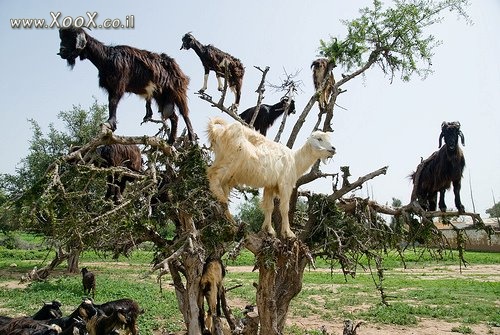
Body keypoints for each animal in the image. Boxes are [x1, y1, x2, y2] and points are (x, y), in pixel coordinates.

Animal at [56, 26, 193, 145]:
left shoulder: (118, 84)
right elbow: (111, 103)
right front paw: (112, 124)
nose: (61, 51)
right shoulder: (111, 87)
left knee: (184, 113)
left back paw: (191, 137)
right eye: (62, 38)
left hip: (178, 90)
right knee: (174, 117)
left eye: (71, 38)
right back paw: (171, 141)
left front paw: (110, 123)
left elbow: (113, 102)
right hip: (161, 96)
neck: (106, 58)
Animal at [205, 118, 338, 239]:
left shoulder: (270, 185)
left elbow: (269, 207)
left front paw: (269, 230)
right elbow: (284, 208)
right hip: (230, 162)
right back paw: (220, 199)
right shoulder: (285, 184)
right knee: (212, 175)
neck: (295, 160)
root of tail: (217, 131)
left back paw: (229, 218)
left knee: (222, 186)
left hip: (229, 173)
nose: (333, 148)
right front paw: (288, 233)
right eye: (319, 139)